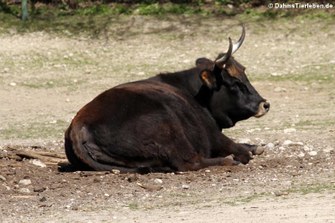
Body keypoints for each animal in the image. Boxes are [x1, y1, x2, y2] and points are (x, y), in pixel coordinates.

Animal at [65, 26, 270, 172]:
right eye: (234, 83)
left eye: (244, 73)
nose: (264, 104)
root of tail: (79, 126)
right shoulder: (213, 135)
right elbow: (240, 149)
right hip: (170, 130)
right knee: (190, 162)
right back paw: (227, 160)